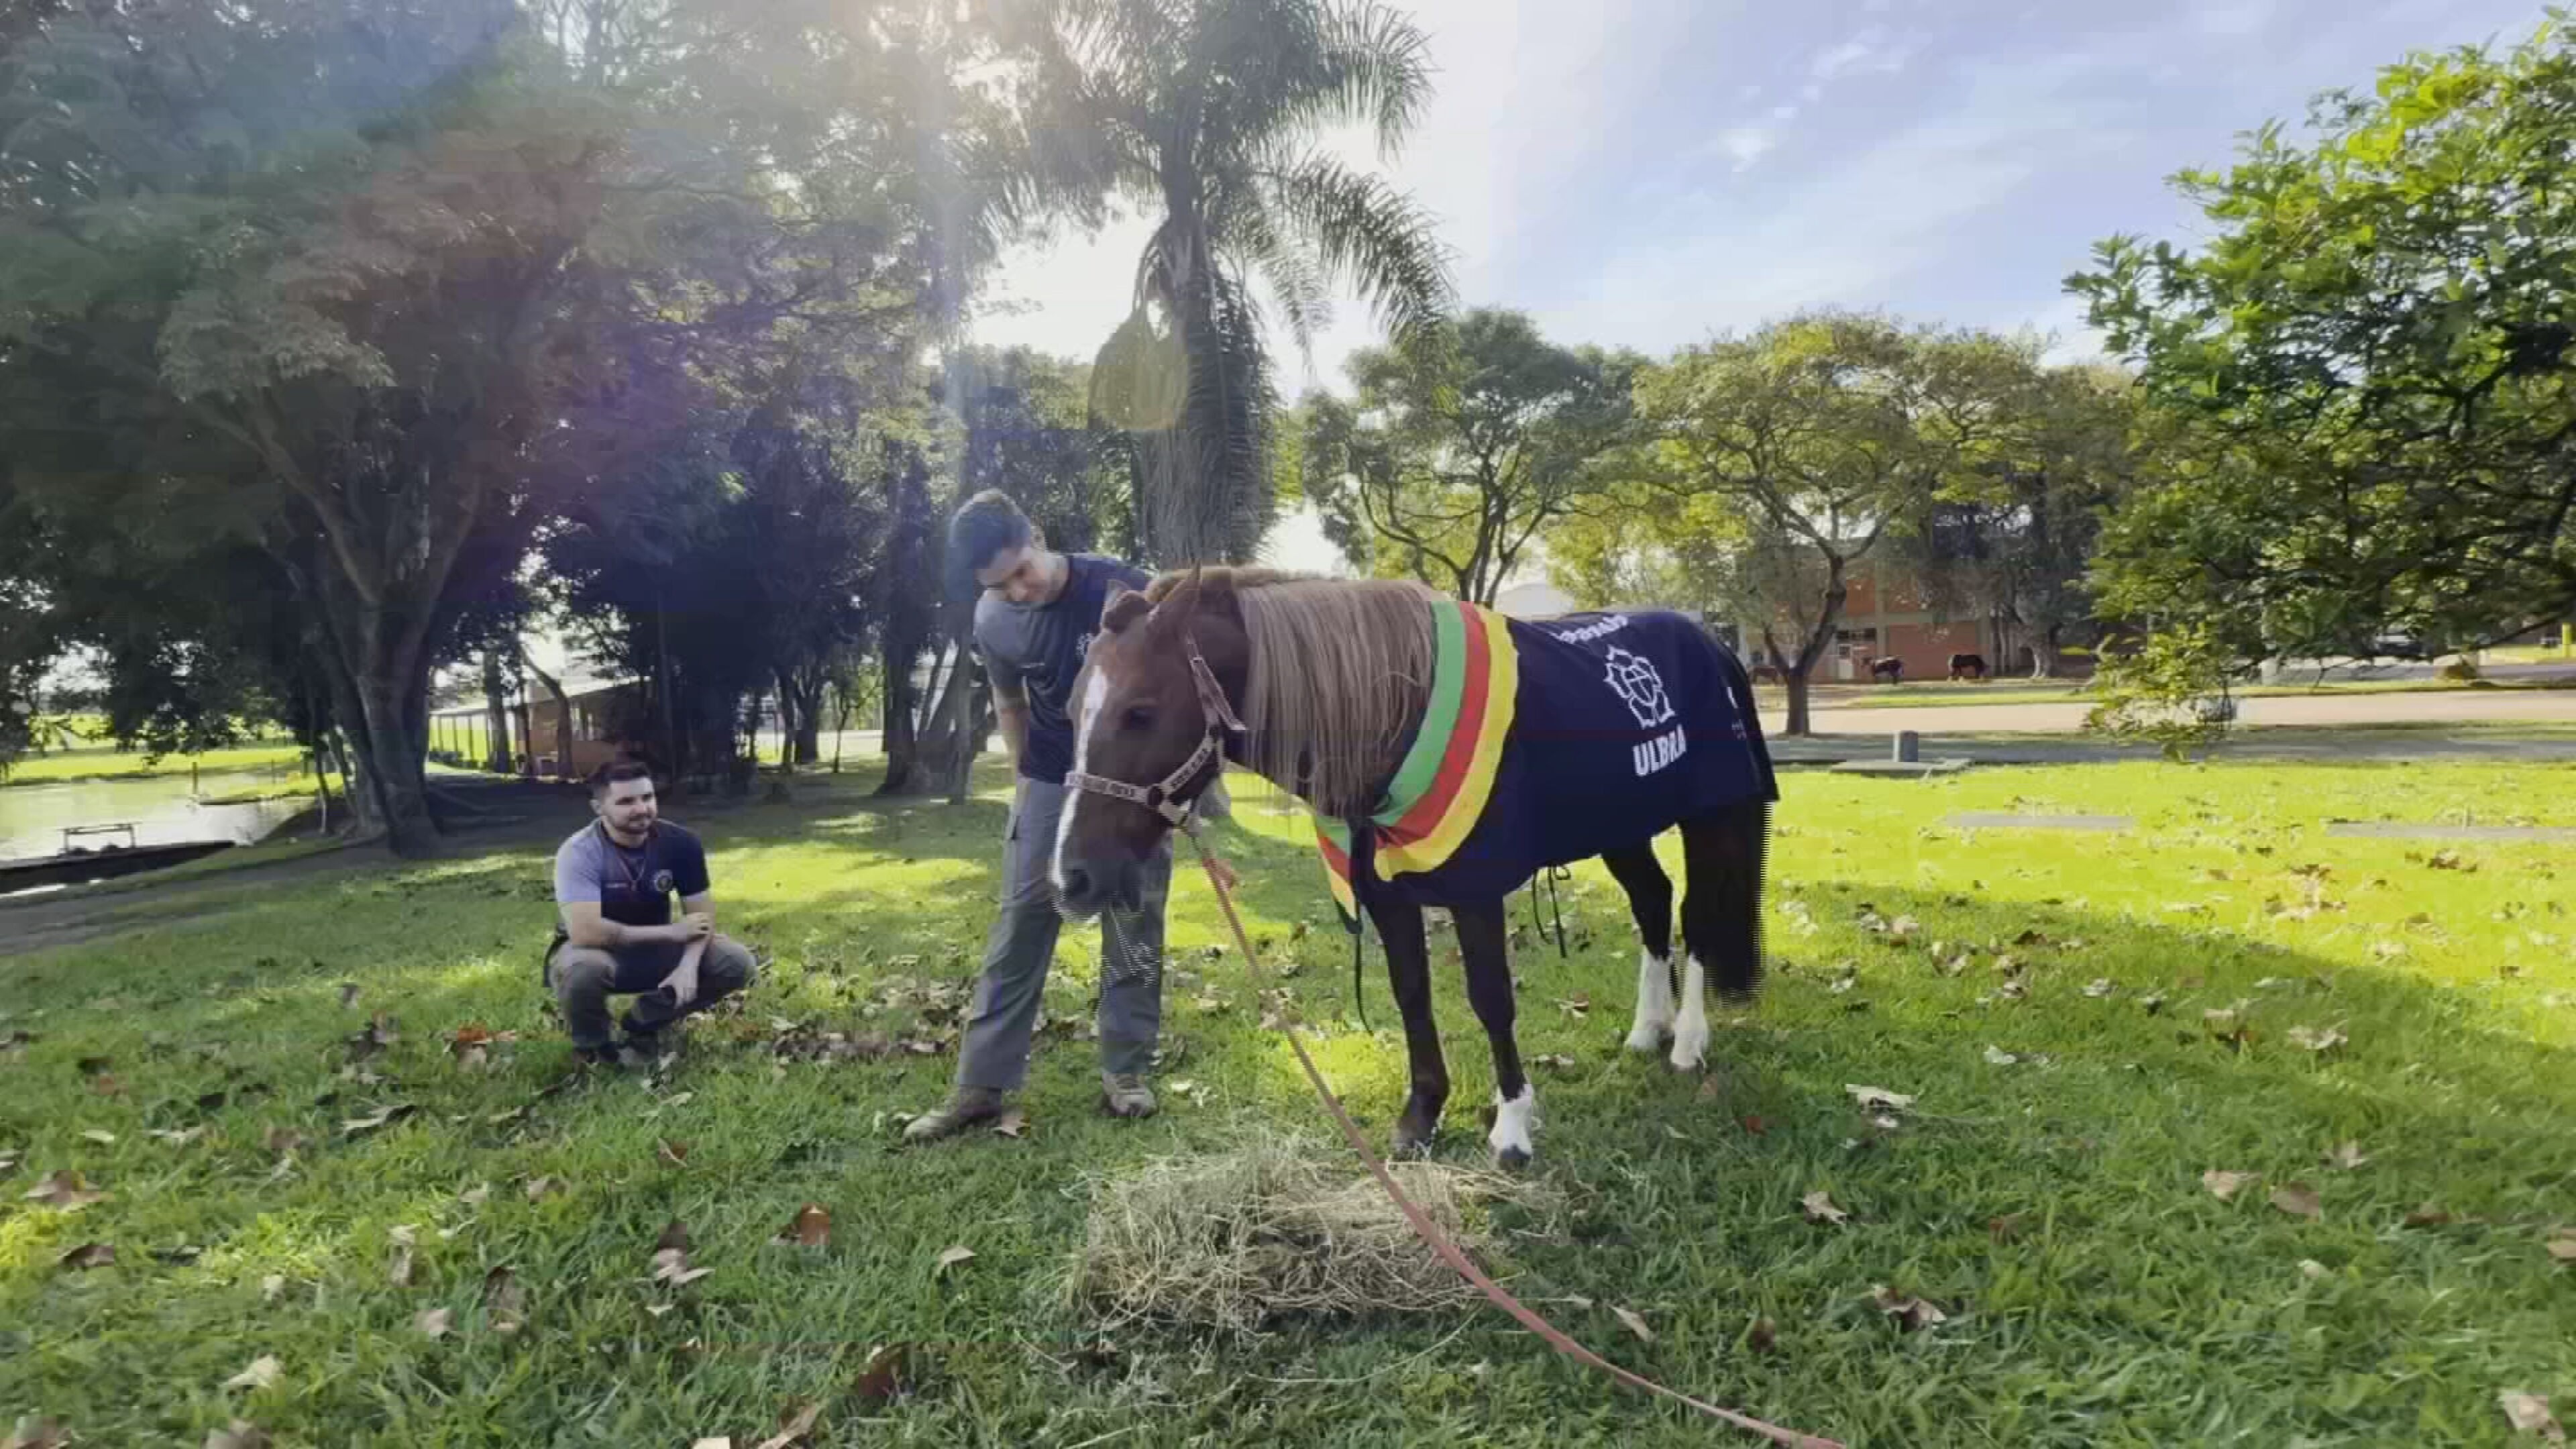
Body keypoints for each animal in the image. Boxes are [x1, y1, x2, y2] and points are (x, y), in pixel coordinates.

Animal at [1051, 569, 1778, 1167]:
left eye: (1140, 712)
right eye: (1070, 711)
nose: (1071, 879)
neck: (1393, 717)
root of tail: (1710, 642)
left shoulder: (1477, 891)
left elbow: (1490, 1000)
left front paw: (1511, 1128)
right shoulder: (1387, 893)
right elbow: (1412, 996)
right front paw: (1421, 1118)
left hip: (1709, 817)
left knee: (1697, 916)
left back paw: (1687, 1042)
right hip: (1618, 822)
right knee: (1653, 903)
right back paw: (1646, 1031)